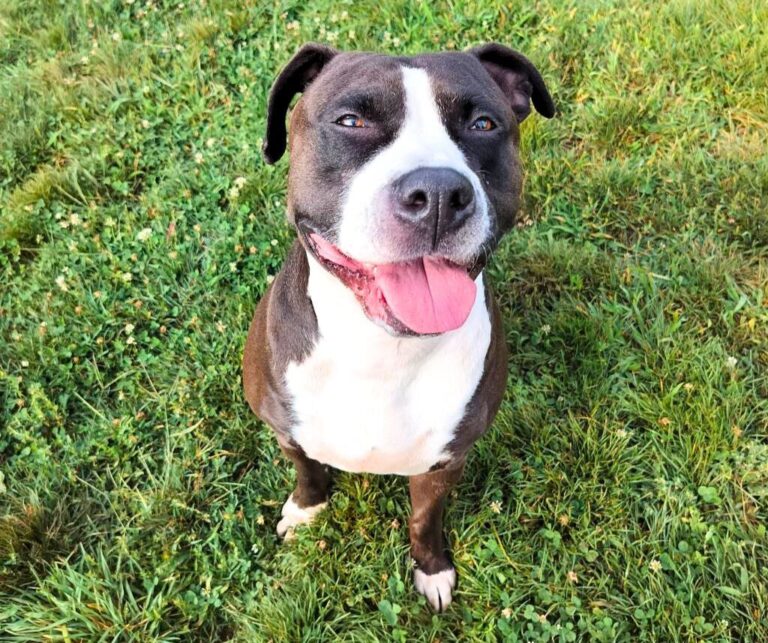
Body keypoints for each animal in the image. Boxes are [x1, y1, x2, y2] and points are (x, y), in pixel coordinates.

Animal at [244, 42, 552, 612]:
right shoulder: (285, 429)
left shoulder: (445, 461)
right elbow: (308, 471)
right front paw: (305, 509)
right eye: (351, 120)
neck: (381, 349)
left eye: (482, 123)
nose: (438, 193)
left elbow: (424, 518)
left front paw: (431, 569)